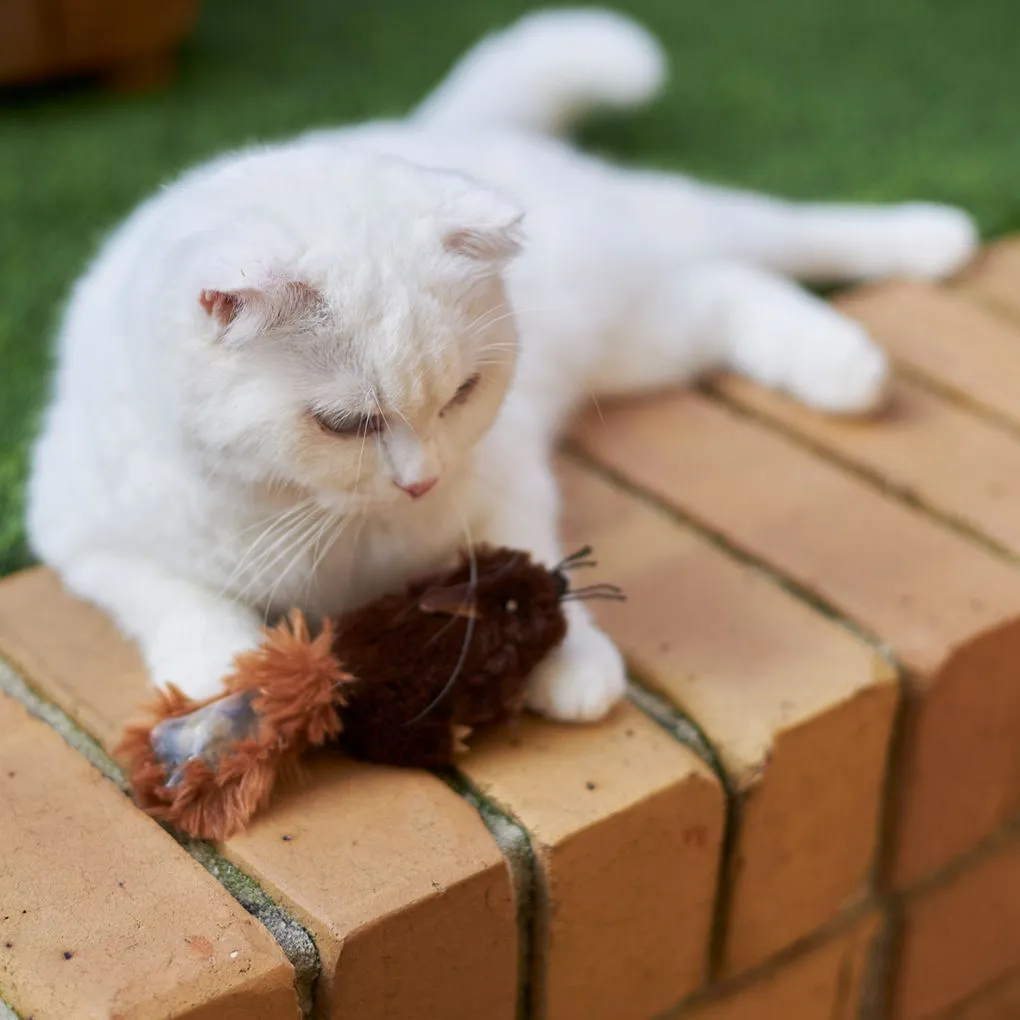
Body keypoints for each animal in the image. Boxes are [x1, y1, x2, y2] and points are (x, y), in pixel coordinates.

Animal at [27, 11, 975, 722]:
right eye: (345, 424)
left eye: (461, 397)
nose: (420, 483)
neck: (330, 529)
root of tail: (436, 129)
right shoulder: (78, 532)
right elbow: (173, 595)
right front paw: (225, 671)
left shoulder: (509, 469)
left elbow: (532, 559)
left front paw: (573, 664)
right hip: (645, 332)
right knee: (727, 286)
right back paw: (845, 363)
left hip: (659, 250)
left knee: (775, 231)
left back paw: (925, 247)